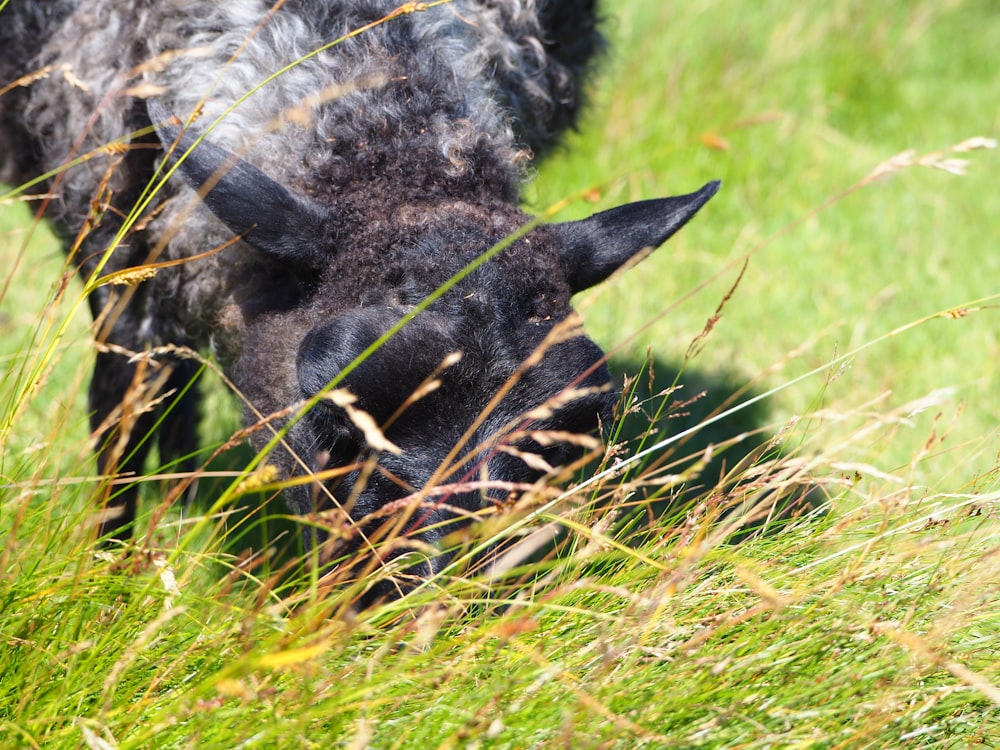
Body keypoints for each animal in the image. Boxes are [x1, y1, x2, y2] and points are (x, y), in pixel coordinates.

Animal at [1, 1, 720, 600]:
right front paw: (110, 571)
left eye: (576, 432)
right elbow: (121, 414)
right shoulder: (117, 243)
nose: (432, 607)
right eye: (331, 422)